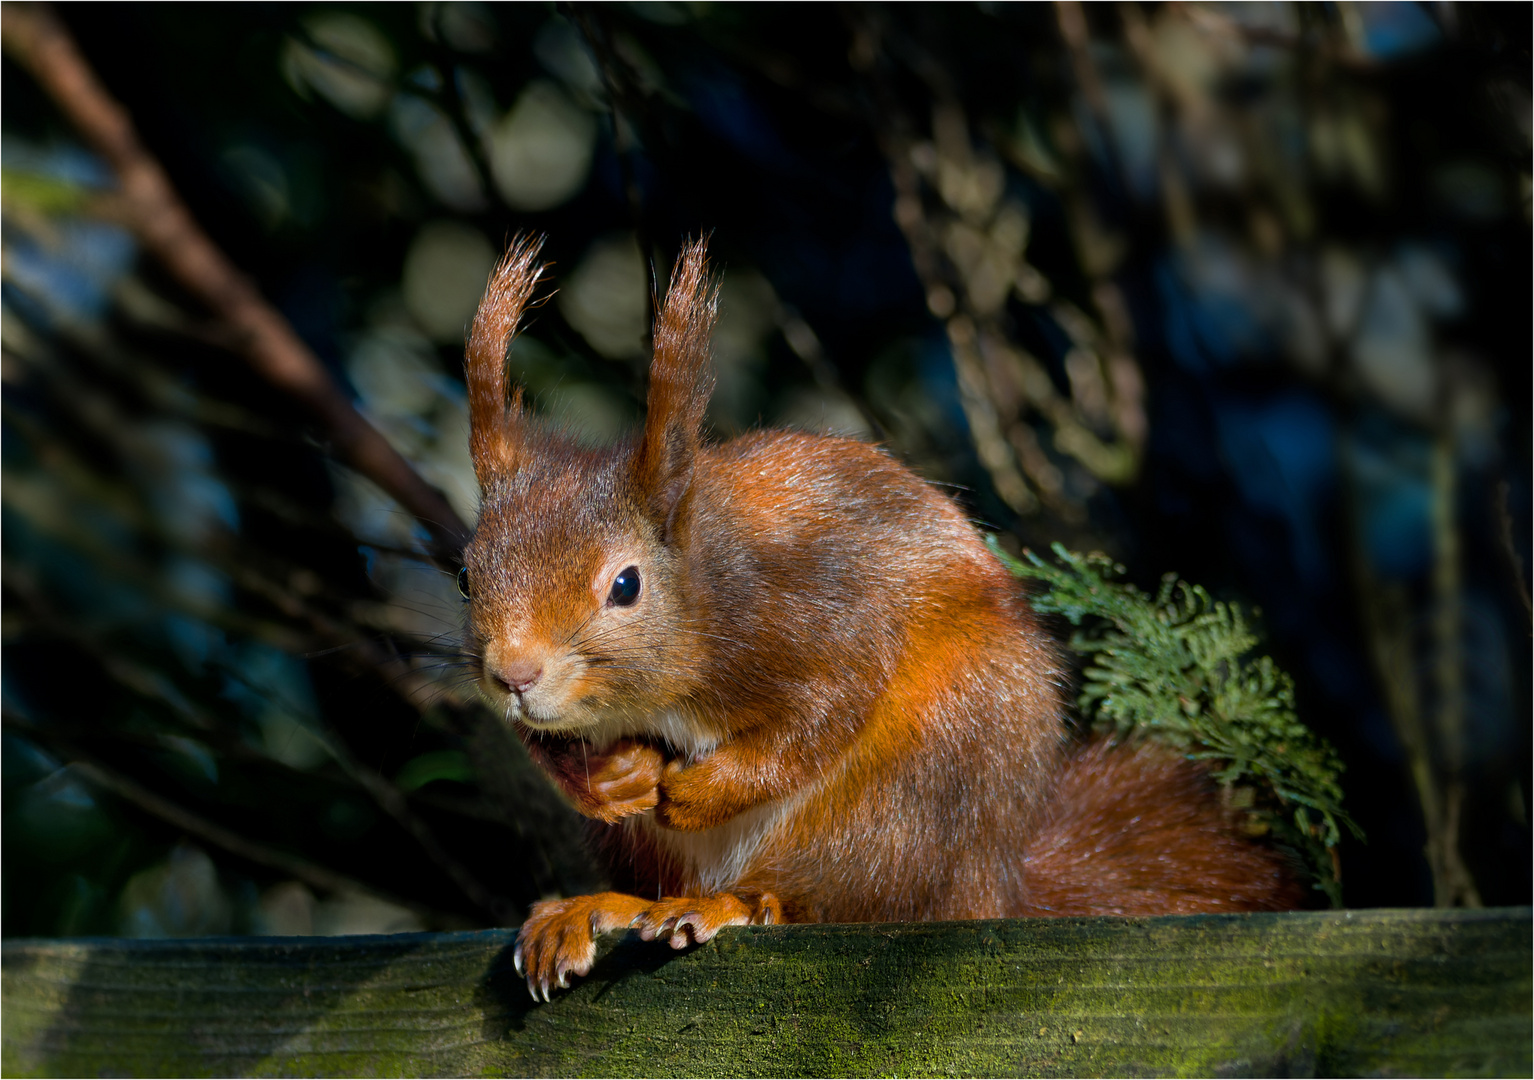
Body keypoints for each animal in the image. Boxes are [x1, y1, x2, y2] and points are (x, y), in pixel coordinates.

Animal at [454, 240, 1294, 1000]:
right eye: (466, 575)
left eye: (626, 585)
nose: (514, 673)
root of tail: (992, 889)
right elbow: (551, 750)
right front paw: (610, 777)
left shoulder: (816, 616)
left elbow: (825, 711)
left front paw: (699, 790)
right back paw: (597, 907)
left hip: (905, 799)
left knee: (827, 899)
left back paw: (730, 901)